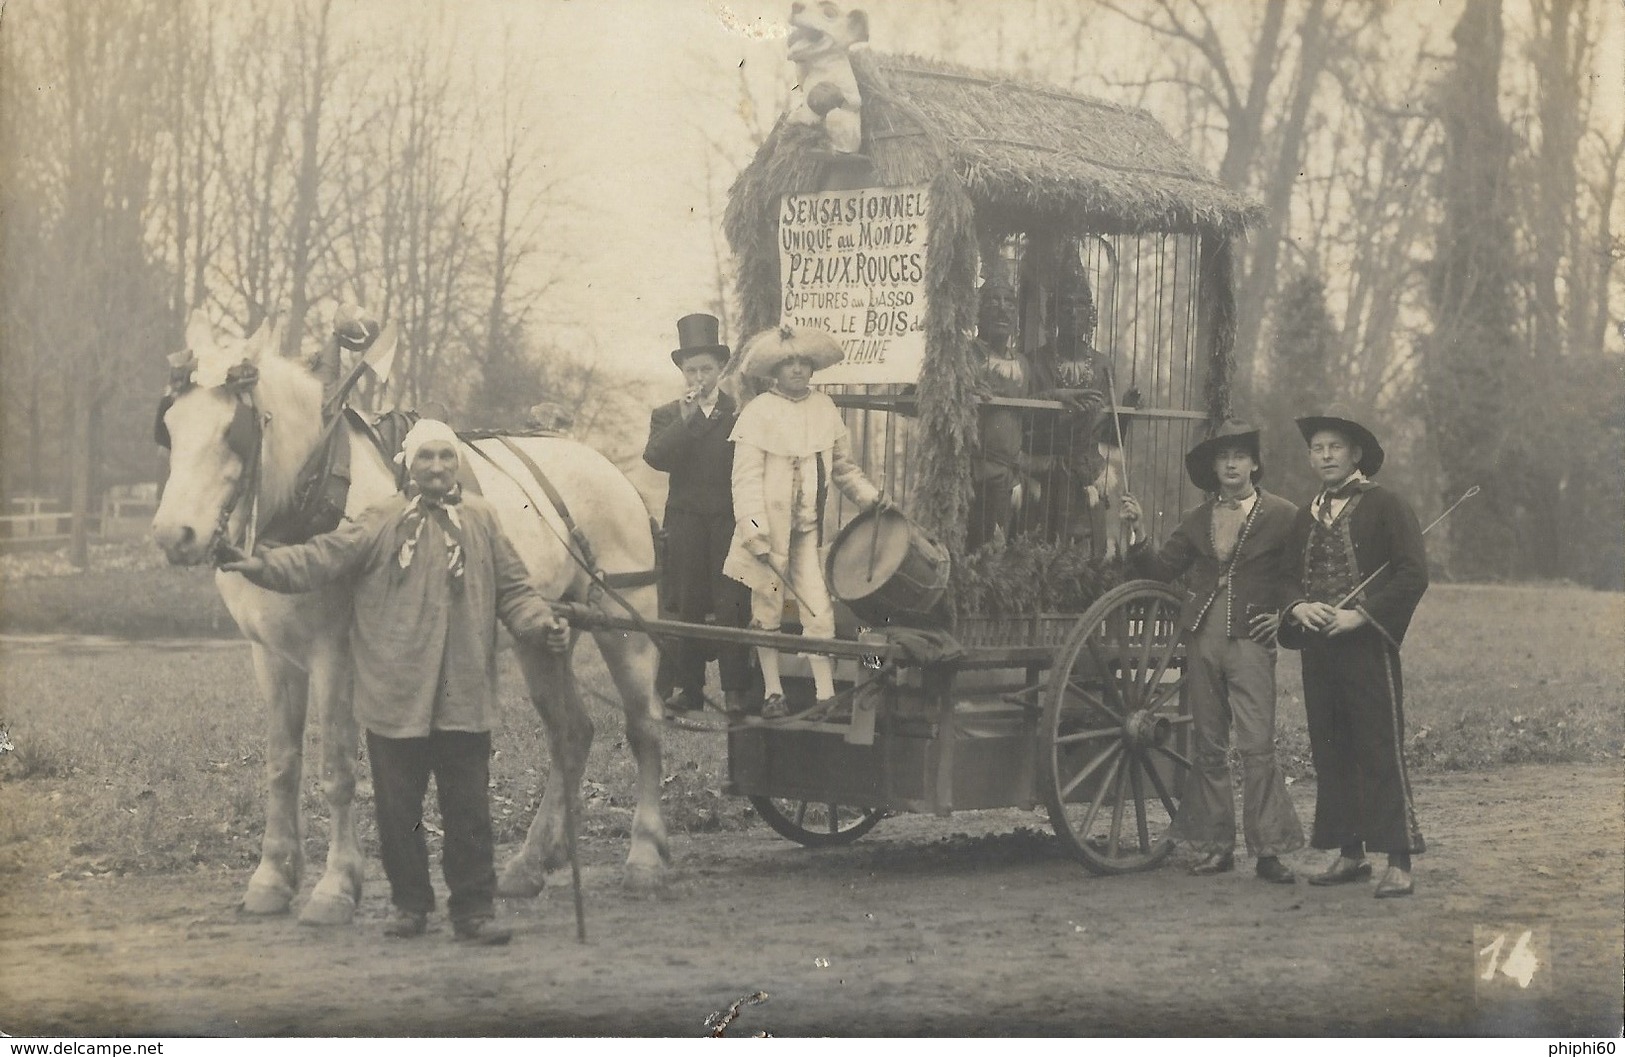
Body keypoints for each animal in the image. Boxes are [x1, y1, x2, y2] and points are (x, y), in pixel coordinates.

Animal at [147, 315, 666, 923]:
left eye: (235, 428)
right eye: (170, 426)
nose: (173, 535)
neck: (315, 491)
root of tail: (608, 467)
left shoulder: (335, 654)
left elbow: (337, 768)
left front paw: (336, 886)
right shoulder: (271, 656)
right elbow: (281, 766)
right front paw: (273, 877)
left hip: (625, 626)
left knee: (644, 728)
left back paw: (644, 858)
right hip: (539, 632)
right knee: (571, 732)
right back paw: (532, 862)